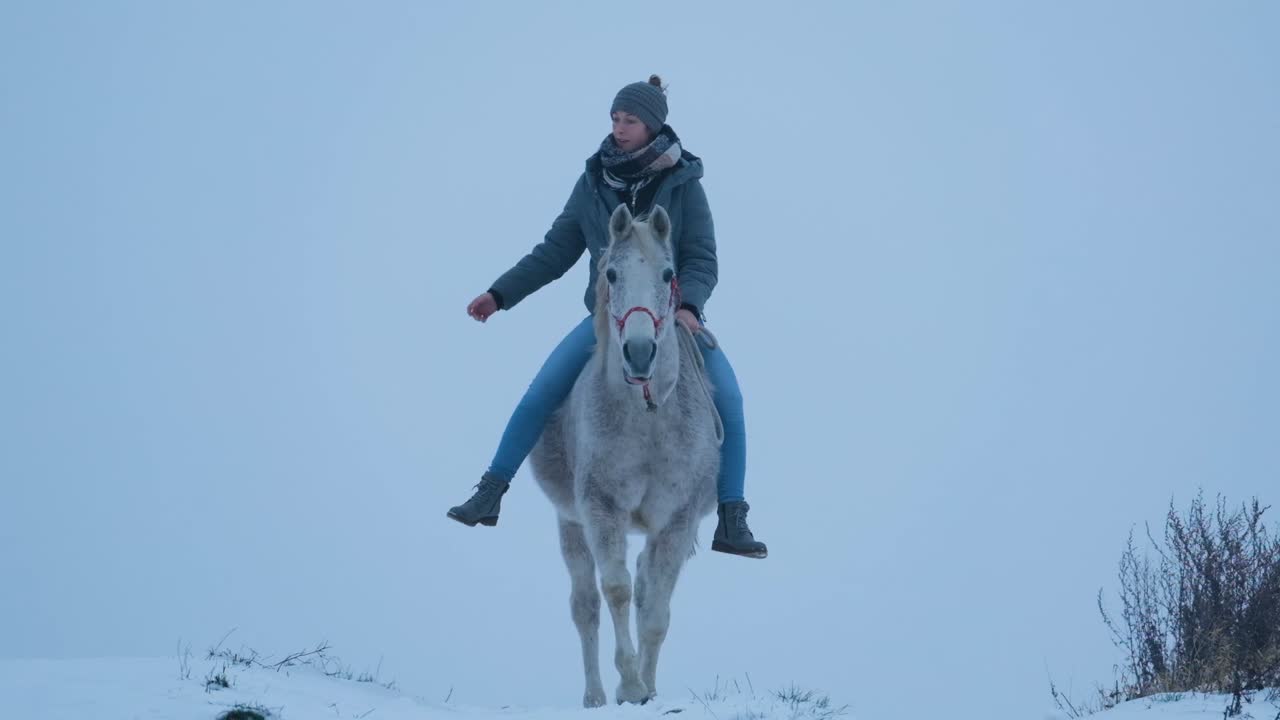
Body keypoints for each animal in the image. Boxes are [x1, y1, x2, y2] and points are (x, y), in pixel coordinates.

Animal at [527, 202, 722, 707]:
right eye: (611, 273)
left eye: (669, 273)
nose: (638, 352)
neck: (647, 418)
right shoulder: (601, 509)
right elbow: (614, 591)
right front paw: (629, 684)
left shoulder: (676, 521)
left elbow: (655, 610)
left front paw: (647, 689)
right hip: (570, 525)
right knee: (585, 608)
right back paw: (595, 696)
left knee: (644, 587)